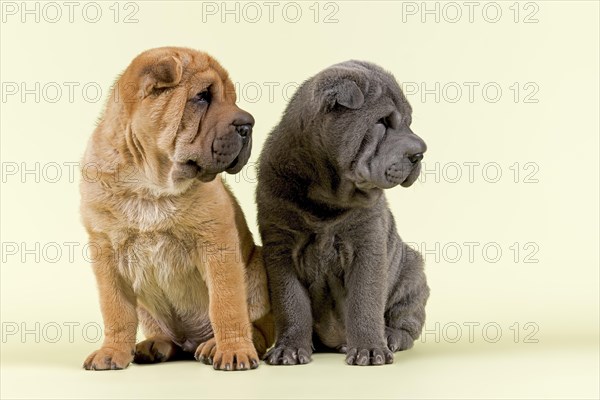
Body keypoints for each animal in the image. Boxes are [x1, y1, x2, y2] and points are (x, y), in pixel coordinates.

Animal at [81, 47, 274, 372]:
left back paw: (213, 345)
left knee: (257, 329)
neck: (151, 184)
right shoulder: (105, 251)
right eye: (202, 97)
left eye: (231, 98)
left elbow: (226, 304)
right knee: (161, 332)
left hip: (258, 269)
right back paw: (153, 346)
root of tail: (191, 341)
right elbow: (116, 310)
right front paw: (112, 352)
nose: (248, 124)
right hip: (149, 311)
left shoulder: (217, 244)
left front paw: (234, 350)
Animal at [255, 60, 428, 366]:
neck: (328, 197)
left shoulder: (368, 243)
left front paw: (370, 350)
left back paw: (390, 337)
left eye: (408, 121)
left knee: (405, 321)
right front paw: (288, 349)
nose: (420, 153)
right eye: (382, 122)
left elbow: (364, 300)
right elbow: (291, 303)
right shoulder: (280, 247)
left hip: (412, 272)